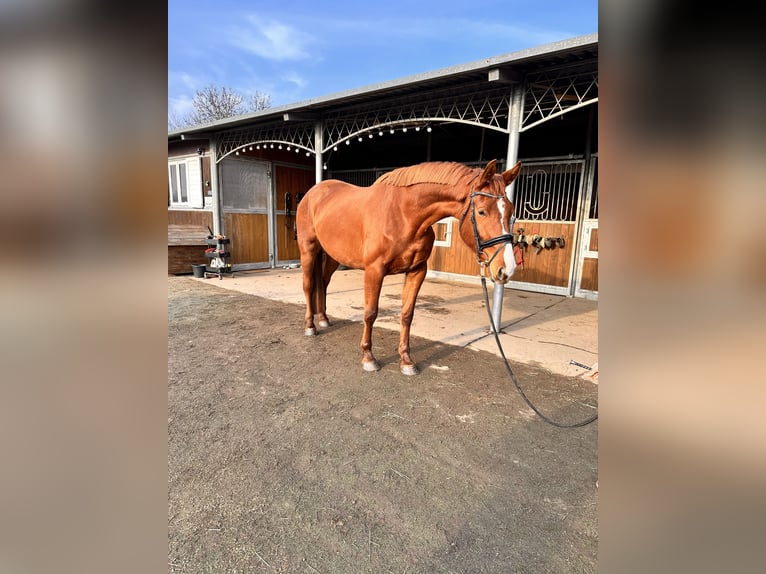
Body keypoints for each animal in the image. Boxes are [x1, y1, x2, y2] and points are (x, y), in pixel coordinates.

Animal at [294, 160, 520, 376]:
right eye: (482, 212)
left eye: (511, 212)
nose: (506, 269)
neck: (403, 214)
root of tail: (313, 193)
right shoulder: (374, 270)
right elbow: (370, 313)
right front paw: (368, 358)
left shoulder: (417, 271)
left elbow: (406, 315)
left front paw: (406, 361)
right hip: (309, 250)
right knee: (308, 286)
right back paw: (310, 326)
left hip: (333, 255)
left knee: (323, 283)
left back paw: (323, 319)